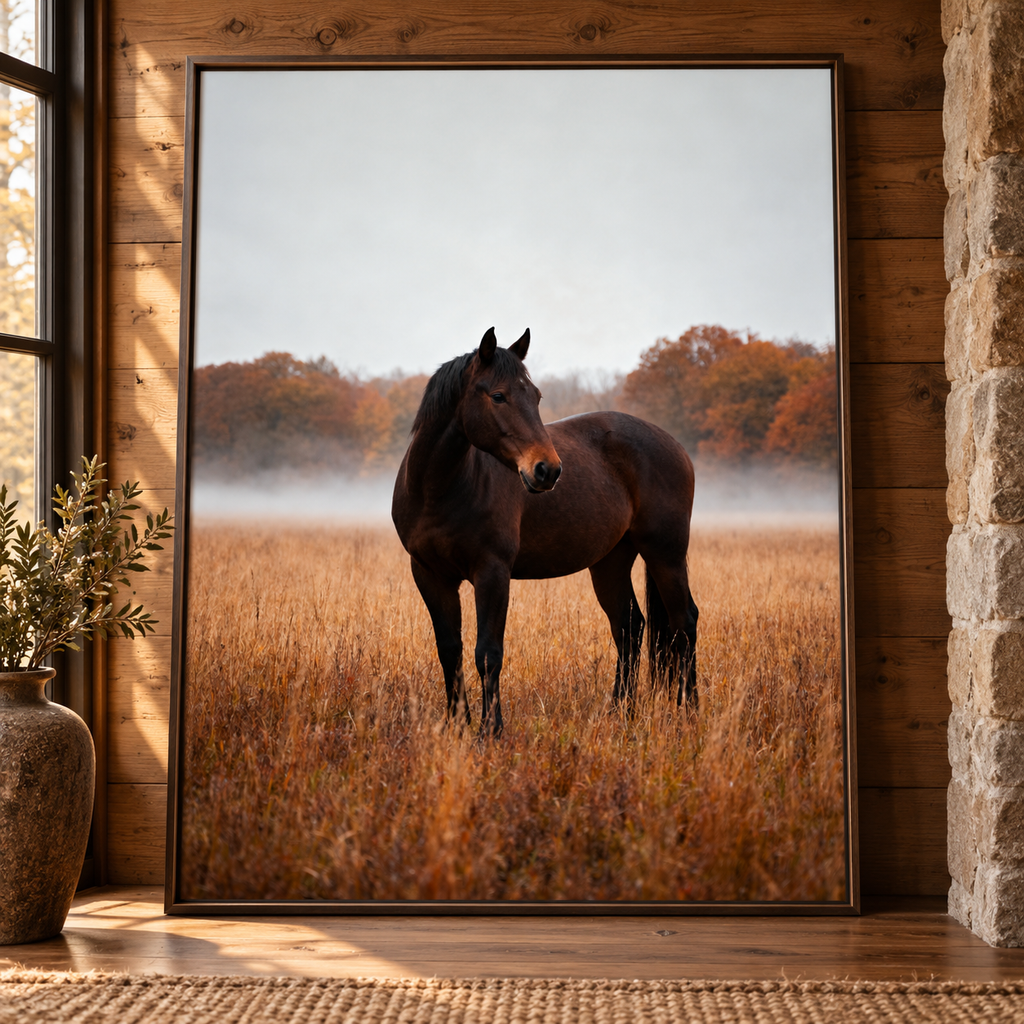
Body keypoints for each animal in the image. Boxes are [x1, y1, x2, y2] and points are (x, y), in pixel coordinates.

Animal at [391, 327, 699, 736]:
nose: (547, 470)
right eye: (498, 395)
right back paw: (621, 712)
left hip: (666, 554)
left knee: (684, 624)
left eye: (536, 396)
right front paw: (457, 726)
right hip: (611, 561)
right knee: (630, 626)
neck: (437, 489)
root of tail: (674, 445)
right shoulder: (429, 575)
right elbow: (449, 650)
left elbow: (487, 653)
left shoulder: (492, 573)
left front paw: (490, 731)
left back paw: (690, 712)